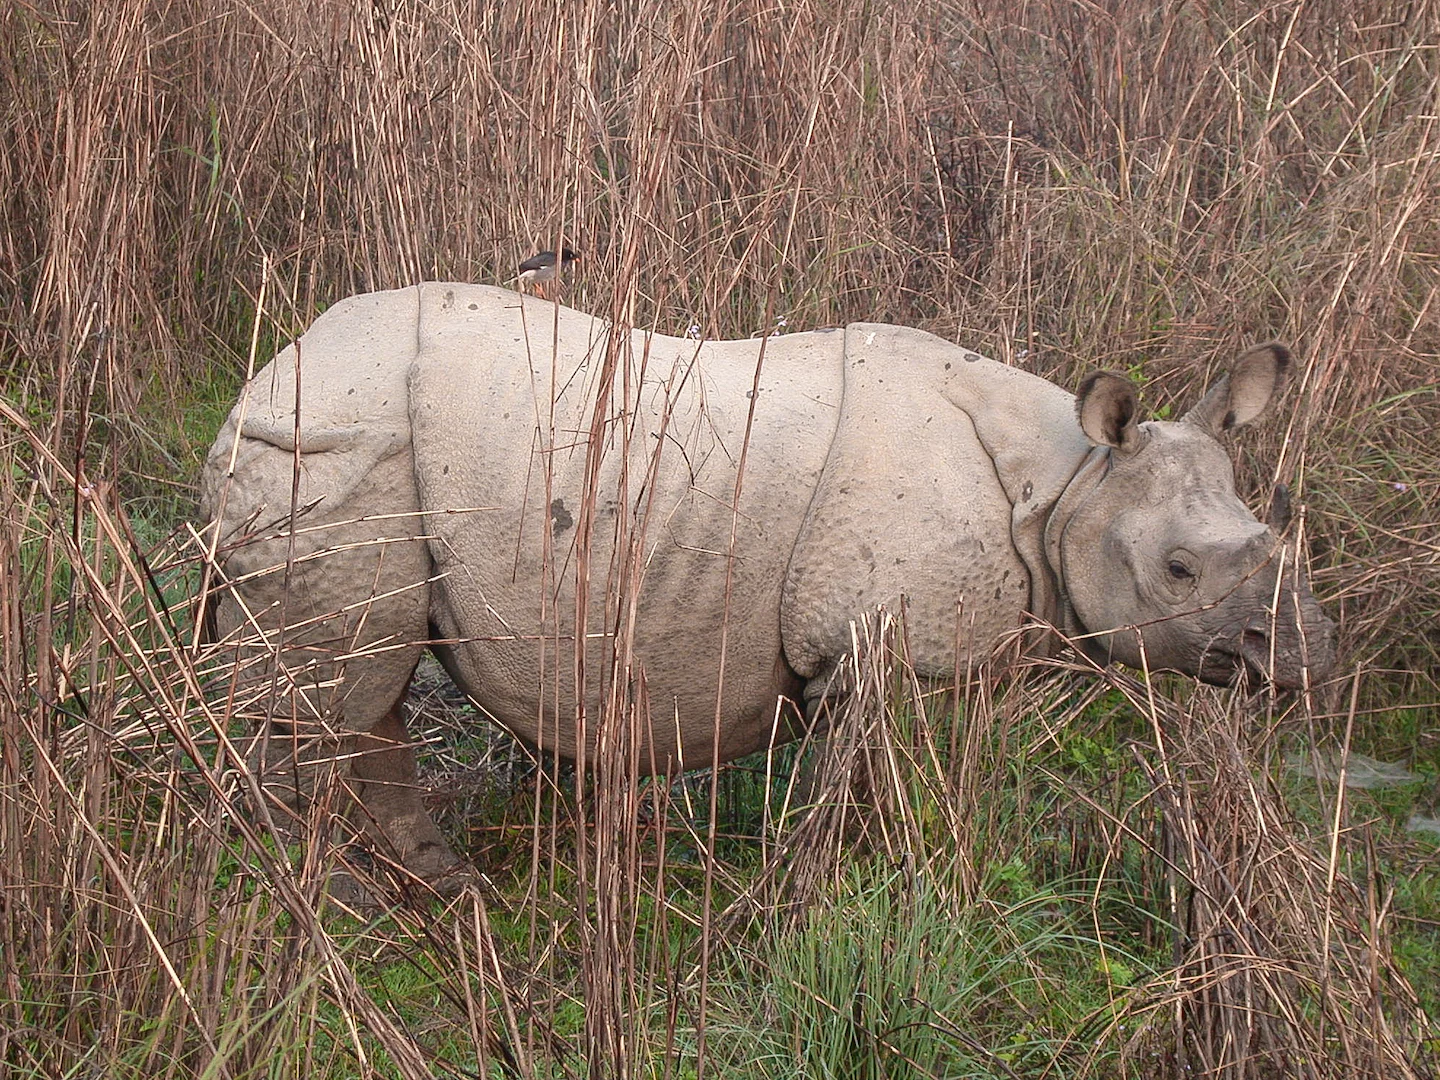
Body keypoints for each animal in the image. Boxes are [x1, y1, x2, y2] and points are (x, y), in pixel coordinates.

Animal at [201, 282, 1335, 885]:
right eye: (1179, 570)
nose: (1309, 657)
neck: (1068, 484)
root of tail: (265, 375)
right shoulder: (866, 648)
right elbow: (850, 789)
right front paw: (824, 895)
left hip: (347, 441)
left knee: (361, 687)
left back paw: (438, 889)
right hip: (335, 446)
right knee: (335, 685)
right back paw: (343, 901)